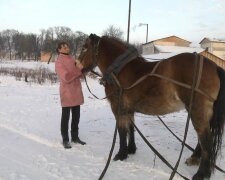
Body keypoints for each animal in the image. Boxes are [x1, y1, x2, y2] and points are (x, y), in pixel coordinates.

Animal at [78, 34, 225, 180]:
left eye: (84, 48)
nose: (76, 64)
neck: (120, 70)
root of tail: (213, 66)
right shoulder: (129, 109)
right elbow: (131, 128)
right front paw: (131, 149)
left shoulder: (118, 108)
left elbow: (122, 131)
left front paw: (121, 154)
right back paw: (194, 159)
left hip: (197, 111)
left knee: (206, 140)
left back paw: (202, 173)